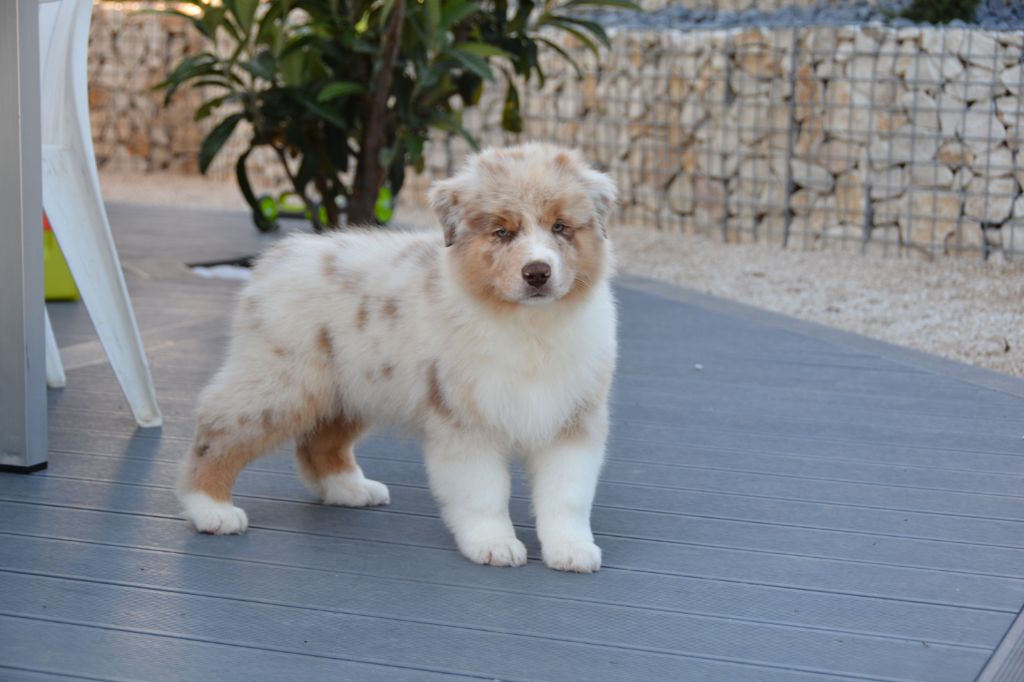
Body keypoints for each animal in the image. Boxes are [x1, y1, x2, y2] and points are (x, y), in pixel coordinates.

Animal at [177, 142, 618, 572]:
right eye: (501, 232)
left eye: (560, 227)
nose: (537, 273)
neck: (529, 325)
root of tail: (278, 256)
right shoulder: (464, 421)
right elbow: (484, 492)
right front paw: (493, 544)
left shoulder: (573, 418)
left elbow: (567, 497)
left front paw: (570, 549)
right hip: (280, 382)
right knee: (217, 429)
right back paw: (211, 508)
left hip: (350, 386)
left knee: (319, 442)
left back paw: (348, 488)